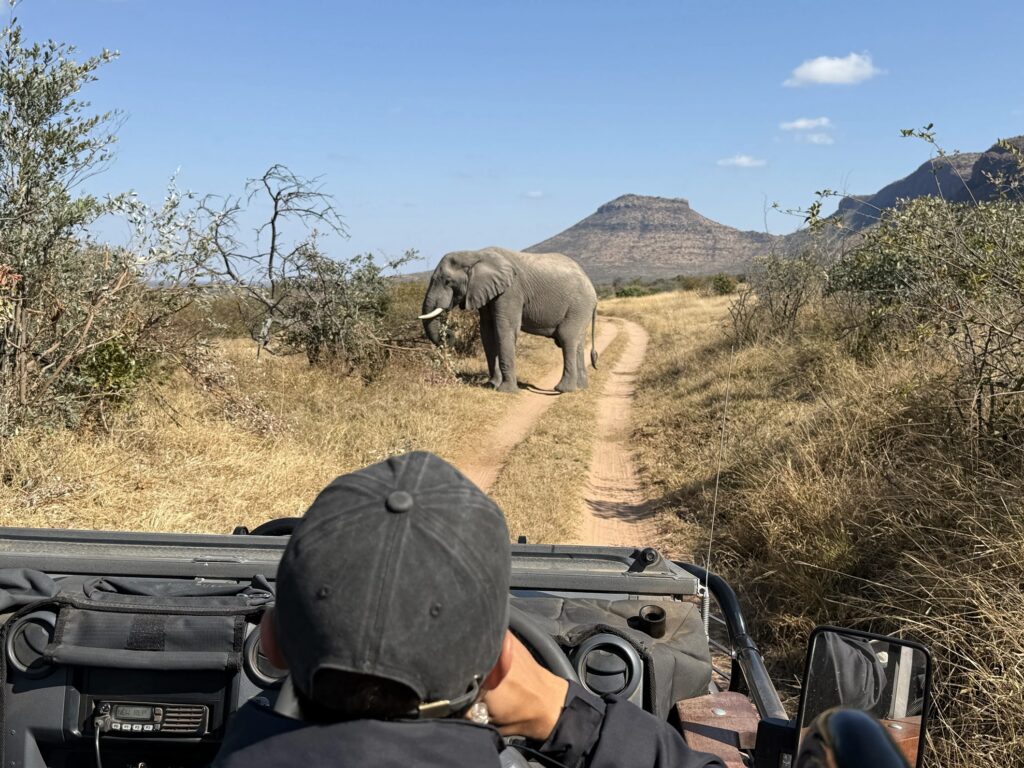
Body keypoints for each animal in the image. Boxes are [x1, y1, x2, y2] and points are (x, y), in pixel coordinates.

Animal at [419, 247, 598, 393]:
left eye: (448, 281)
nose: (449, 334)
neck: (475, 254)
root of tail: (592, 288)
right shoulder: (486, 291)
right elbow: (487, 331)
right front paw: (491, 385)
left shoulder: (511, 291)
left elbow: (505, 328)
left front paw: (506, 390)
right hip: (581, 309)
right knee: (578, 342)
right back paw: (581, 387)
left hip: (579, 305)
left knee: (567, 338)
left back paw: (563, 389)